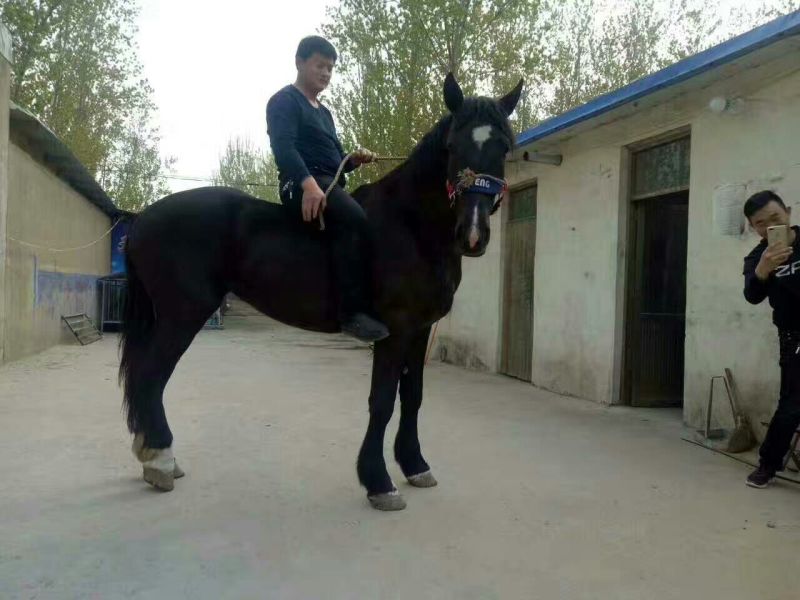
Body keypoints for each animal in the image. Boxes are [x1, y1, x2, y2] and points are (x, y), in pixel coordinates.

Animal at [120, 73, 523, 510]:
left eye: (503, 146)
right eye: (452, 146)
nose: (473, 234)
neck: (411, 226)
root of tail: (143, 217)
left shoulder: (419, 331)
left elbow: (412, 397)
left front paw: (415, 465)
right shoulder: (395, 331)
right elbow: (382, 402)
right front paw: (379, 481)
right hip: (183, 315)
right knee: (151, 376)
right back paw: (160, 460)